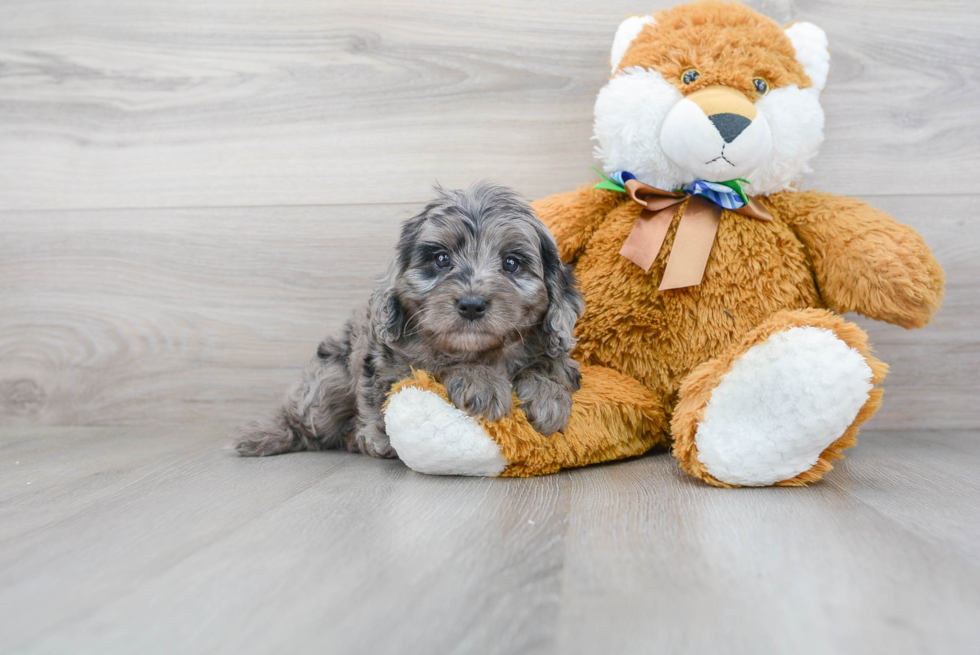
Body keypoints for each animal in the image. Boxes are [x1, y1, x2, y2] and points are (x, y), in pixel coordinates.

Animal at [234, 183, 584, 462]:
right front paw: (480, 380)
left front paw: (547, 394)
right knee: (305, 422)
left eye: (511, 263)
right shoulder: (393, 366)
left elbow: (549, 364)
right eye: (441, 259)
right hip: (325, 384)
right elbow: (437, 363)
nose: (472, 305)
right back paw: (266, 436)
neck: (483, 350)